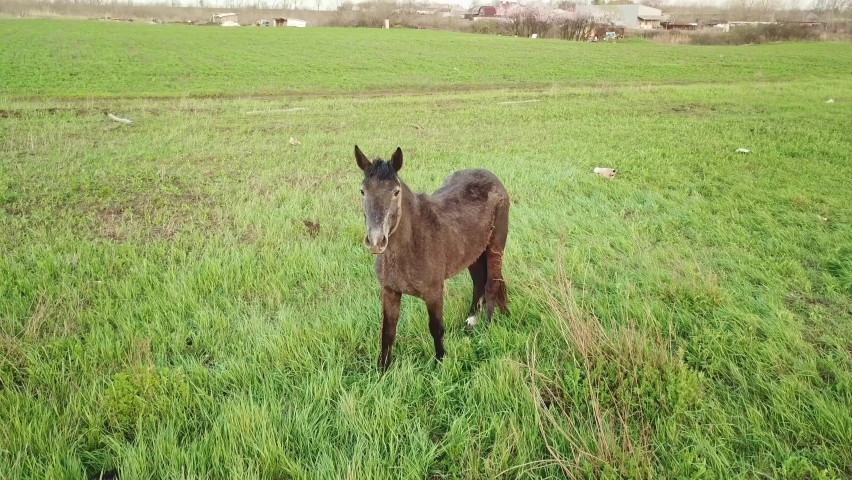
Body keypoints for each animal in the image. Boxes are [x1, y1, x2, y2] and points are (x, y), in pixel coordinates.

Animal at [354, 145, 511, 371]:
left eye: (396, 192)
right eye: (363, 191)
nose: (376, 241)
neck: (411, 244)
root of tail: (492, 177)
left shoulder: (434, 292)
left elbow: (436, 328)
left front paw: (440, 363)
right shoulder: (389, 291)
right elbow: (388, 332)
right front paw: (382, 371)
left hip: (495, 248)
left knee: (491, 285)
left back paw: (485, 332)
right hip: (473, 253)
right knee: (478, 281)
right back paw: (471, 322)